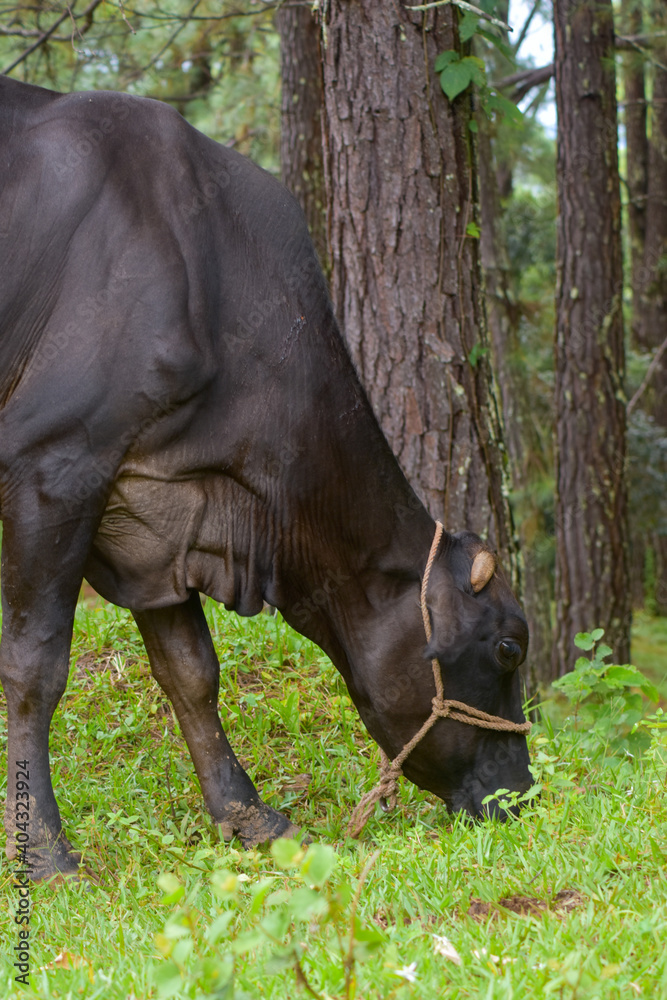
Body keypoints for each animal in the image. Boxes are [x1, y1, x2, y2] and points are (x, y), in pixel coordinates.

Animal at [0, 76, 531, 882]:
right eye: (507, 647)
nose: (524, 794)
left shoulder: (154, 519)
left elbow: (191, 671)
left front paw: (247, 814)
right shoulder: (52, 465)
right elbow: (35, 668)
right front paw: (47, 852)